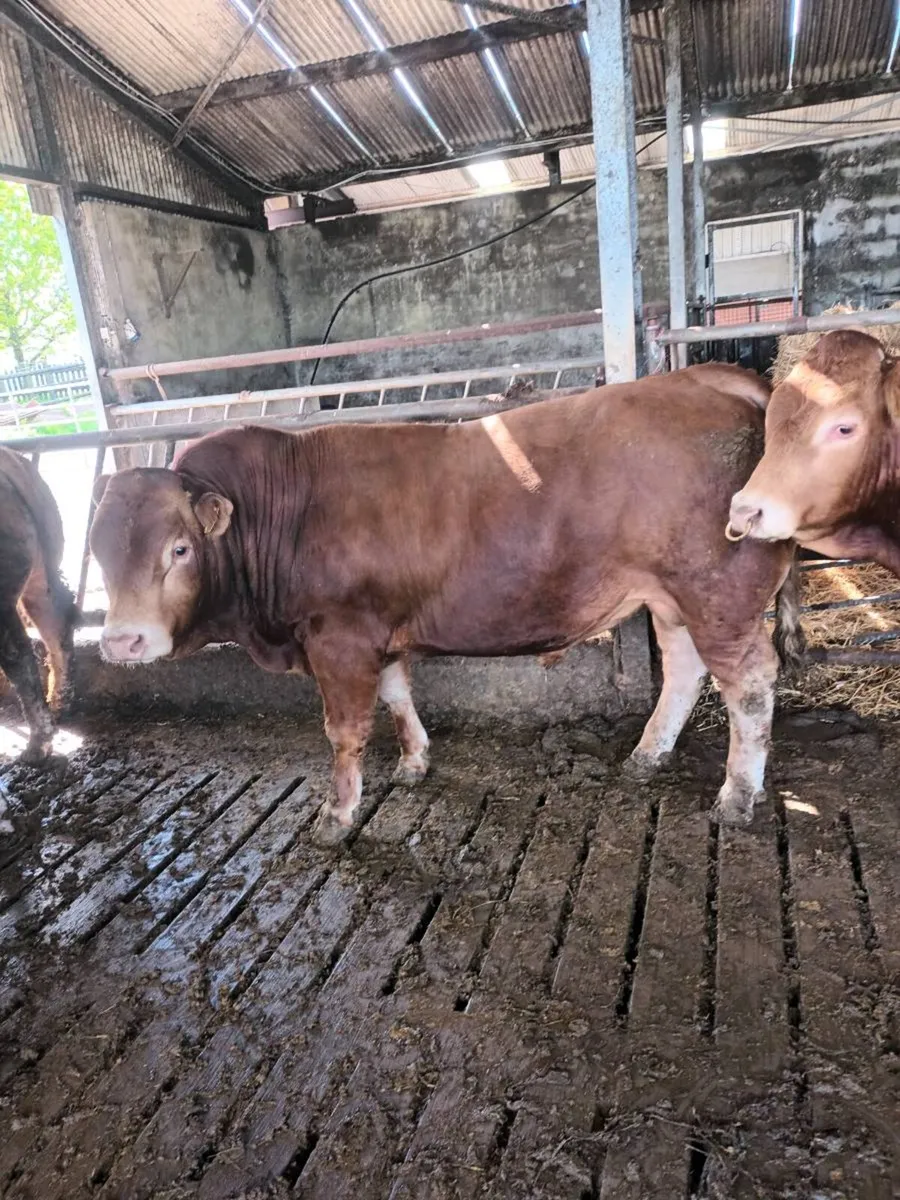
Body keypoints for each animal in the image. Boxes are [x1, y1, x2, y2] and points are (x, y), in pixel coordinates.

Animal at [89, 363, 801, 836]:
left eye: (180, 548)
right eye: (96, 551)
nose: (122, 640)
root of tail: (706, 378)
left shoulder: (338, 636)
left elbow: (345, 730)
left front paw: (337, 814)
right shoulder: (378, 629)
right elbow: (398, 693)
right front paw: (414, 761)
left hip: (716, 590)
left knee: (750, 682)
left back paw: (737, 796)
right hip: (673, 596)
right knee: (684, 669)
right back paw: (647, 757)